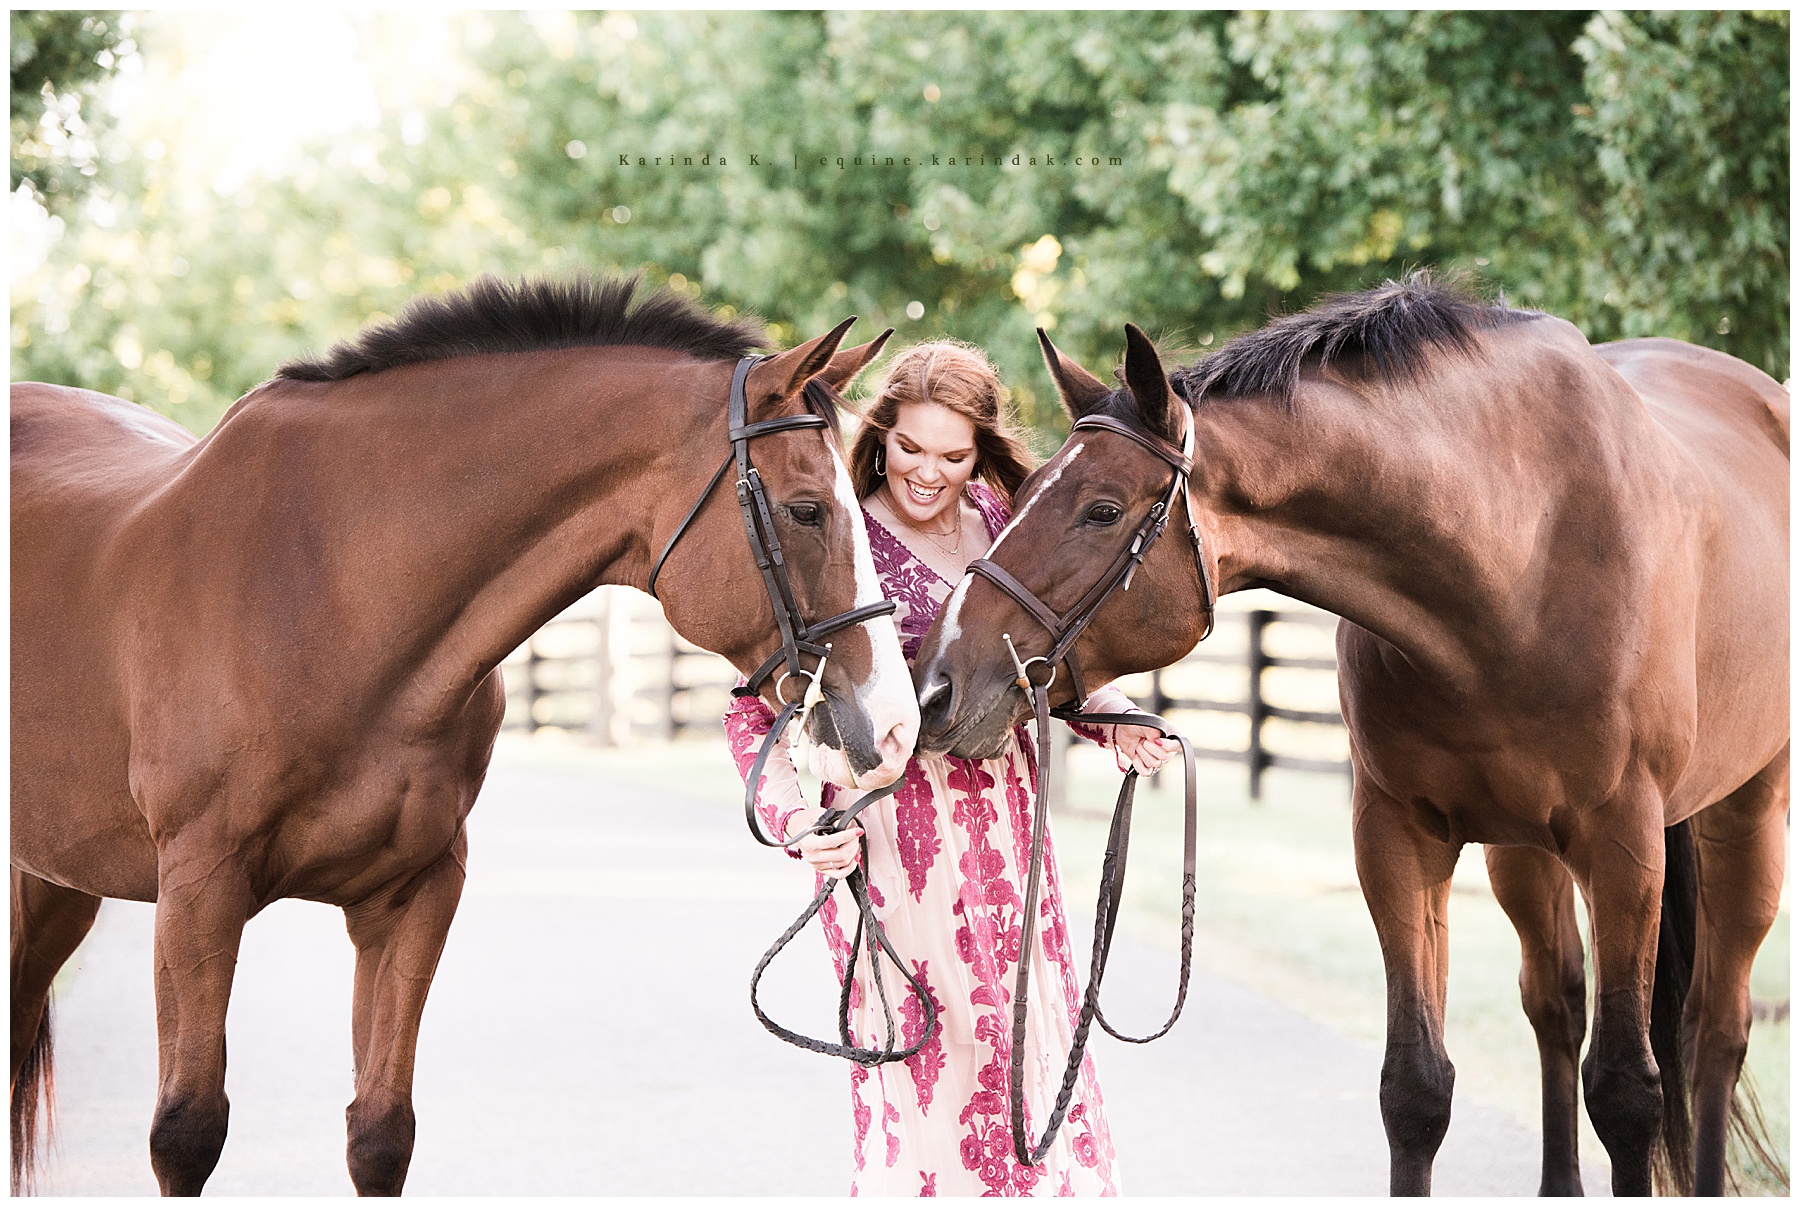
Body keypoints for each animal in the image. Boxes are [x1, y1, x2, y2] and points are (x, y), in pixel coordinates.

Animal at [10, 273, 919, 1196]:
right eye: (806, 510)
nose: (895, 723)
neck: (329, 589)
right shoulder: (199, 891)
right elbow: (187, 1132)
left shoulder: (413, 894)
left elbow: (380, 1133)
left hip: (55, 884)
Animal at [911, 275, 1788, 1196]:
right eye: (1020, 491)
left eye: (1102, 509)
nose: (935, 684)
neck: (1517, 554)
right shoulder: (1396, 837)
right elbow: (1415, 1086)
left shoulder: (1623, 848)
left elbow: (1626, 1093)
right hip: (1523, 850)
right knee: (1555, 1006)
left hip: (1745, 814)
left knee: (1715, 1028)